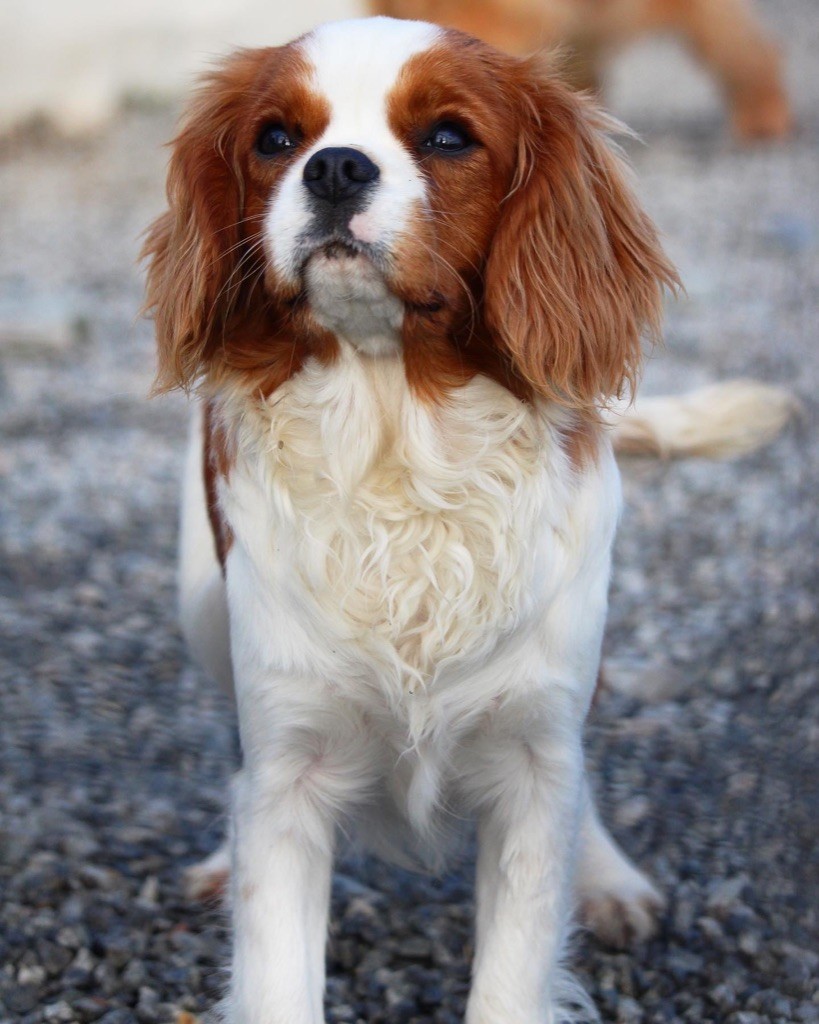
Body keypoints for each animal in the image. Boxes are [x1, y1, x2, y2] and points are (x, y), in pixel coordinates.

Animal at [144, 18, 798, 1024]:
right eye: (275, 138)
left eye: (449, 137)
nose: (334, 168)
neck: (401, 449)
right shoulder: (290, 776)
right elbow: (274, 950)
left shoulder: (531, 763)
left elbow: (516, 961)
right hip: (201, 609)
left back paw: (604, 875)